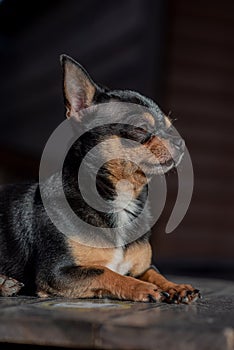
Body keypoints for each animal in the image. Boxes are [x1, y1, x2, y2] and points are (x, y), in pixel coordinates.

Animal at [0, 54, 201, 304]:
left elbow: (155, 272)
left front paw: (176, 286)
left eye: (171, 127)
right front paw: (142, 287)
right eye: (141, 127)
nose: (180, 142)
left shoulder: (143, 267)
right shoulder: (57, 273)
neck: (122, 199)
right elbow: (106, 271)